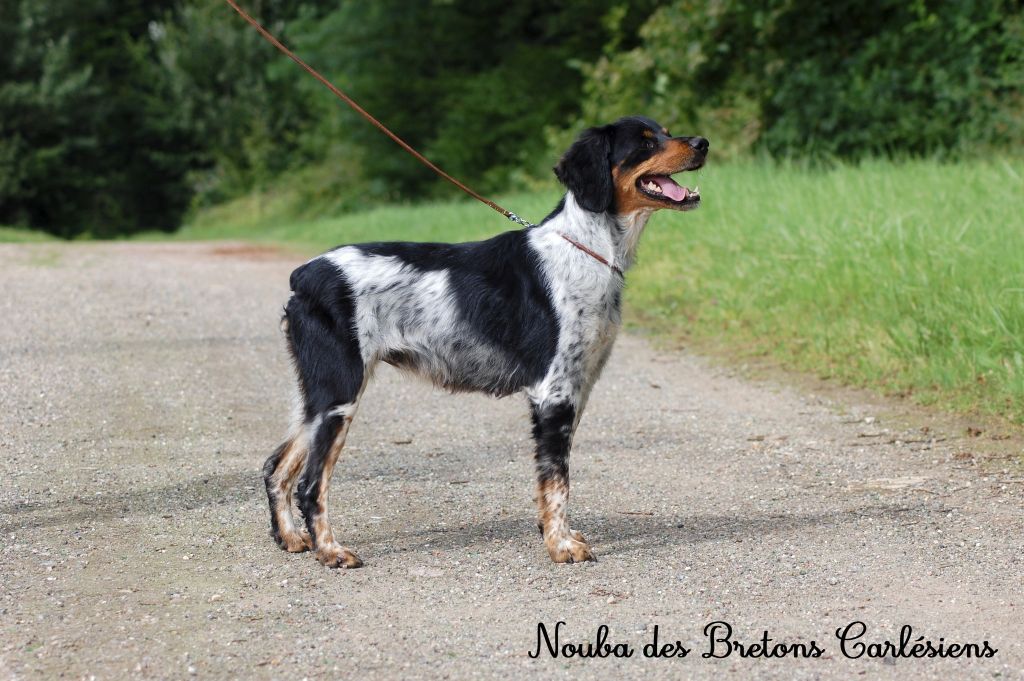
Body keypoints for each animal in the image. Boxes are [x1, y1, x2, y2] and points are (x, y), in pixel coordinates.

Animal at [264, 116, 708, 569]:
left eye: (665, 130)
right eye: (645, 142)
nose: (703, 143)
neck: (588, 248)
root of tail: (305, 275)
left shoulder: (578, 389)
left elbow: (551, 479)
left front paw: (556, 534)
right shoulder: (554, 392)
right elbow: (558, 480)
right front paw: (560, 546)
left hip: (319, 398)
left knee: (276, 467)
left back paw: (292, 538)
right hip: (339, 395)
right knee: (310, 484)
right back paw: (330, 550)